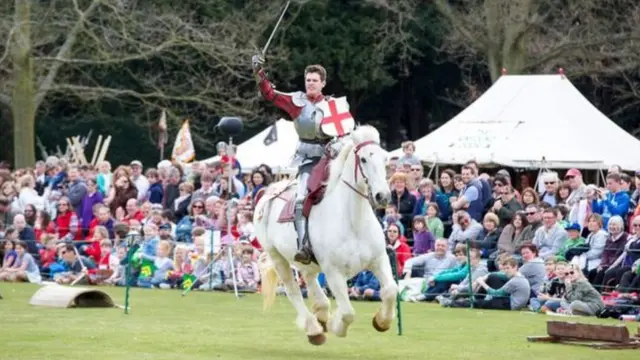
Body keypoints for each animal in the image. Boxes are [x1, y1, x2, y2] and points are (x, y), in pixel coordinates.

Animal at [254, 125, 396, 344]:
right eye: (363, 159)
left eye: (385, 158)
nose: (383, 196)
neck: (353, 222)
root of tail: (268, 190)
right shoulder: (333, 272)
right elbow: (347, 313)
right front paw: (336, 325)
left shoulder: (379, 260)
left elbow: (390, 291)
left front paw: (382, 322)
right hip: (277, 257)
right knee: (293, 290)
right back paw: (314, 329)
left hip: (306, 262)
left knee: (309, 279)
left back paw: (321, 313)